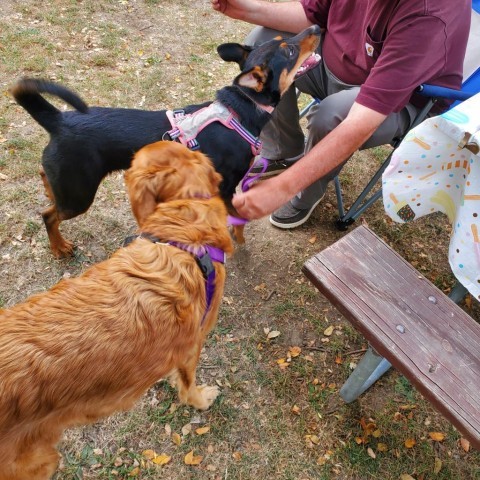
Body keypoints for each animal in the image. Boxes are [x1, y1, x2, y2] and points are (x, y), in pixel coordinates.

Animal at [10, 24, 318, 256]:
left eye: (282, 41)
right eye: (289, 50)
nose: (315, 27)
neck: (241, 108)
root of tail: (58, 120)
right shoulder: (227, 187)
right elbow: (238, 222)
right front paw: (238, 241)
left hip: (70, 184)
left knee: (45, 180)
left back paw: (49, 193)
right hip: (80, 196)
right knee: (48, 215)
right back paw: (59, 247)